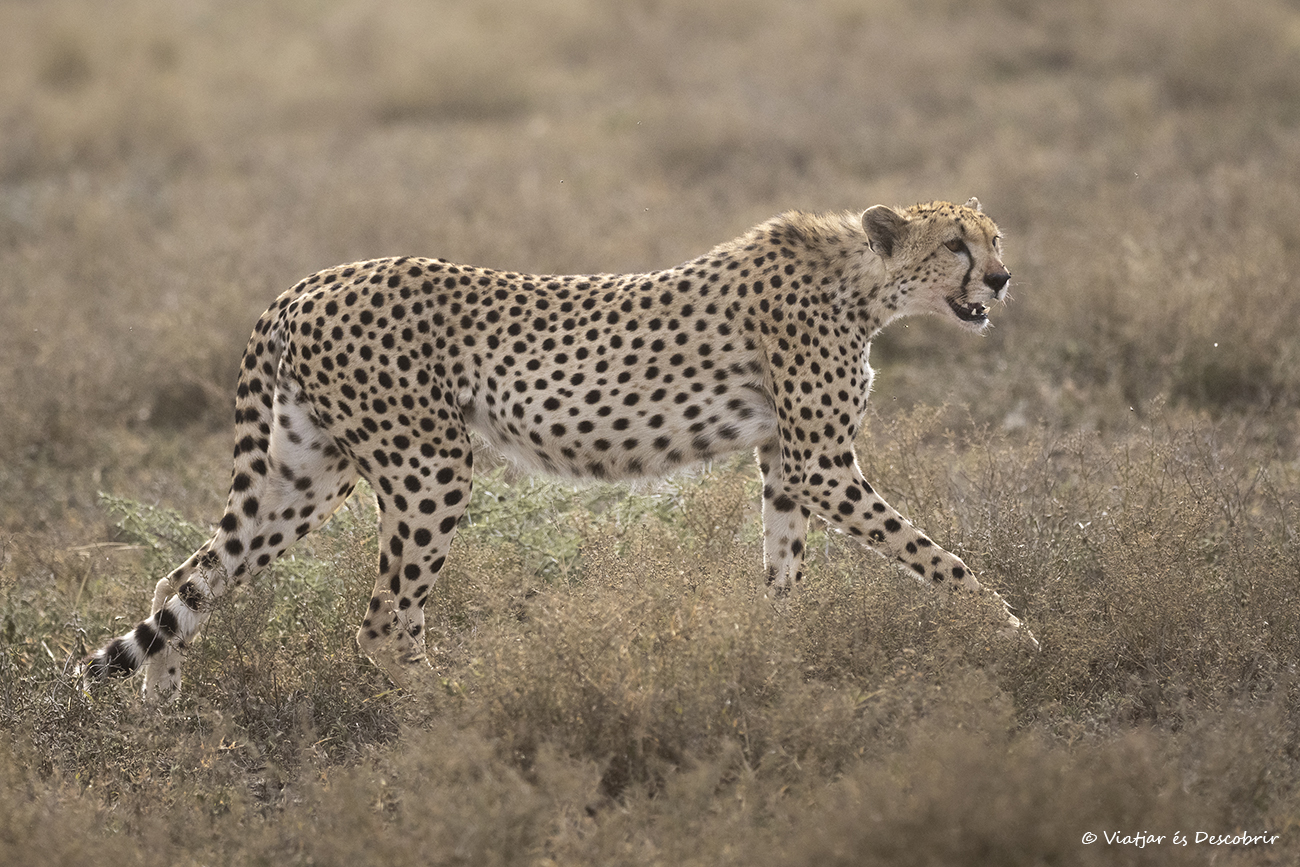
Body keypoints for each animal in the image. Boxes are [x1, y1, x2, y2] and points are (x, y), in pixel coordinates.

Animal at [84, 197, 1037, 701]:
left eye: (995, 238)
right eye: (956, 243)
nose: (1000, 279)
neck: (864, 284)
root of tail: (310, 281)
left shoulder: (784, 464)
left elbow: (783, 569)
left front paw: (774, 653)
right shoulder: (821, 464)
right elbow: (942, 556)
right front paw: (1014, 634)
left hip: (303, 474)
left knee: (184, 581)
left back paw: (164, 718)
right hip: (429, 466)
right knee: (385, 620)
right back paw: (450, 711)